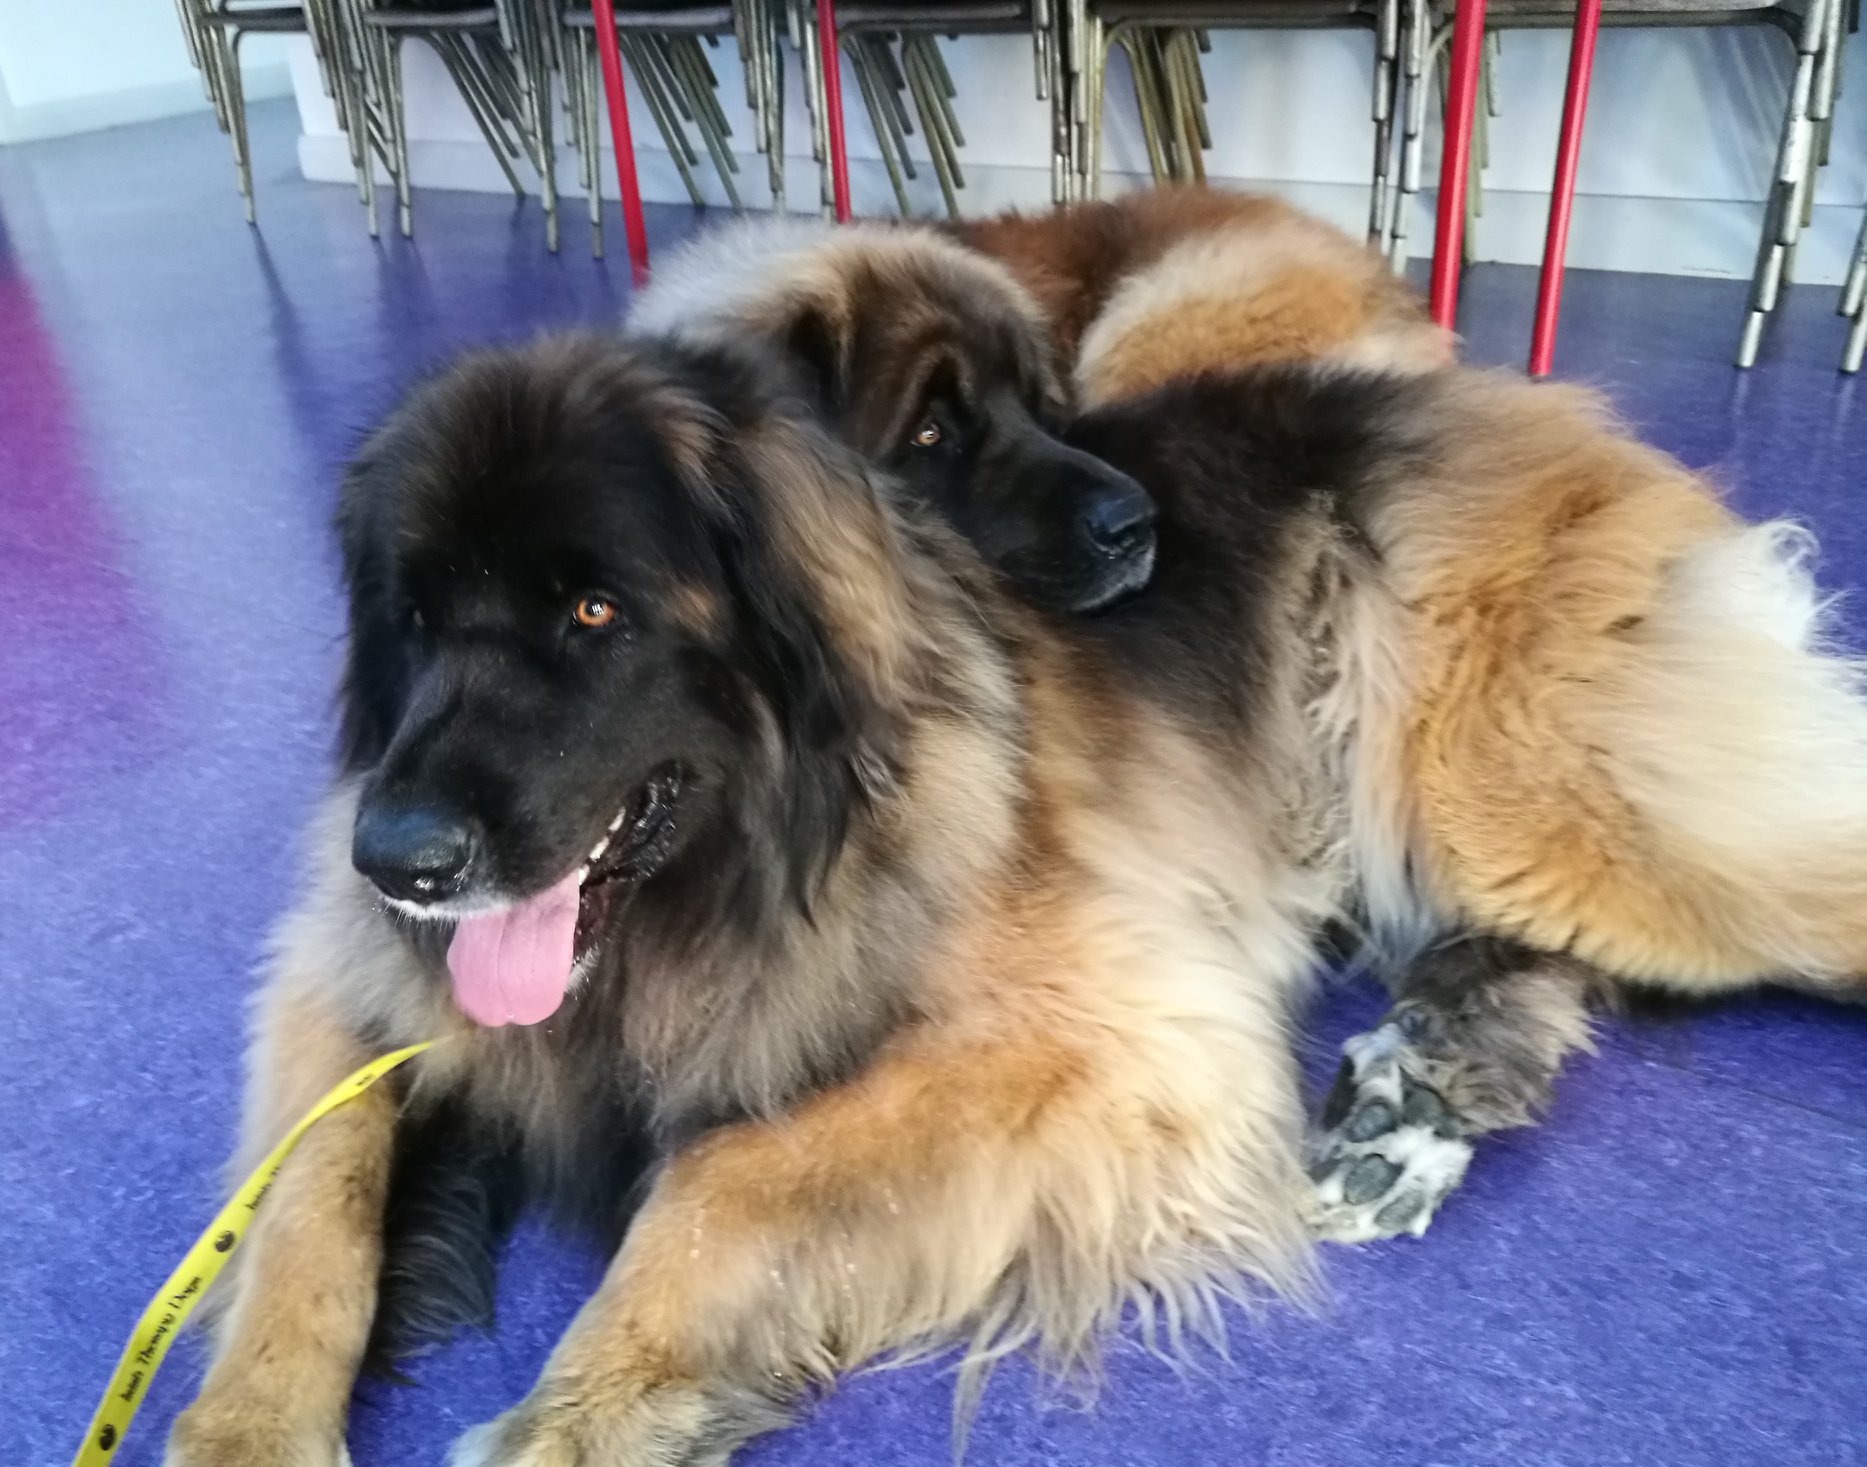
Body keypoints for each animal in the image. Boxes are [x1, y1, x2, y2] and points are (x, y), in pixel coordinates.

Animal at [168, 332, 1329, 1463]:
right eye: (413, 618)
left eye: (593, 609)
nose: (395, 862)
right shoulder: (342, 974)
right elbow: (309, 1187)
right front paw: (247, 1424)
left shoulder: (1117, 1037)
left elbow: (722, 1171)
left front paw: (571, 1424)